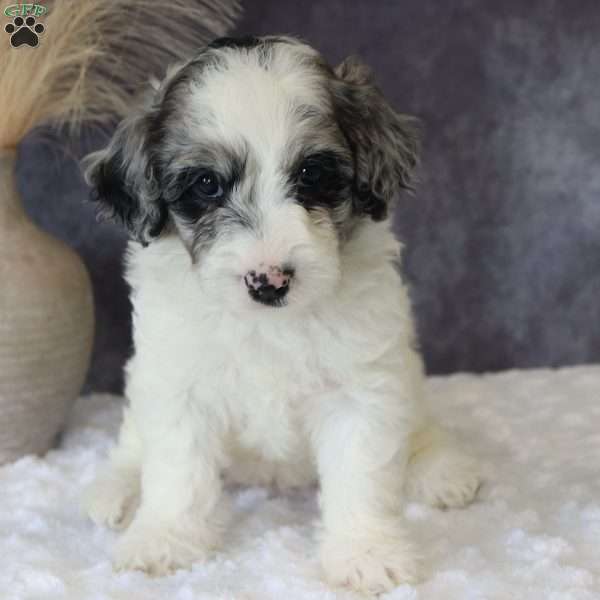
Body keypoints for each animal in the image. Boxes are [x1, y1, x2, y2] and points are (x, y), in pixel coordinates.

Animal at [82, 35, 480, 592]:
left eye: (312, 174)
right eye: (206, 184)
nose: (268, 280)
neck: (268, 326)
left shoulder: (361, 387)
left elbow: (361, 473)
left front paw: (366, 550)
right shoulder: (177, 381)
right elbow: (178, 470)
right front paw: (165, 537)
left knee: (417, 421)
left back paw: (439, 468)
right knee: (133, 441)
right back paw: (115, 488)